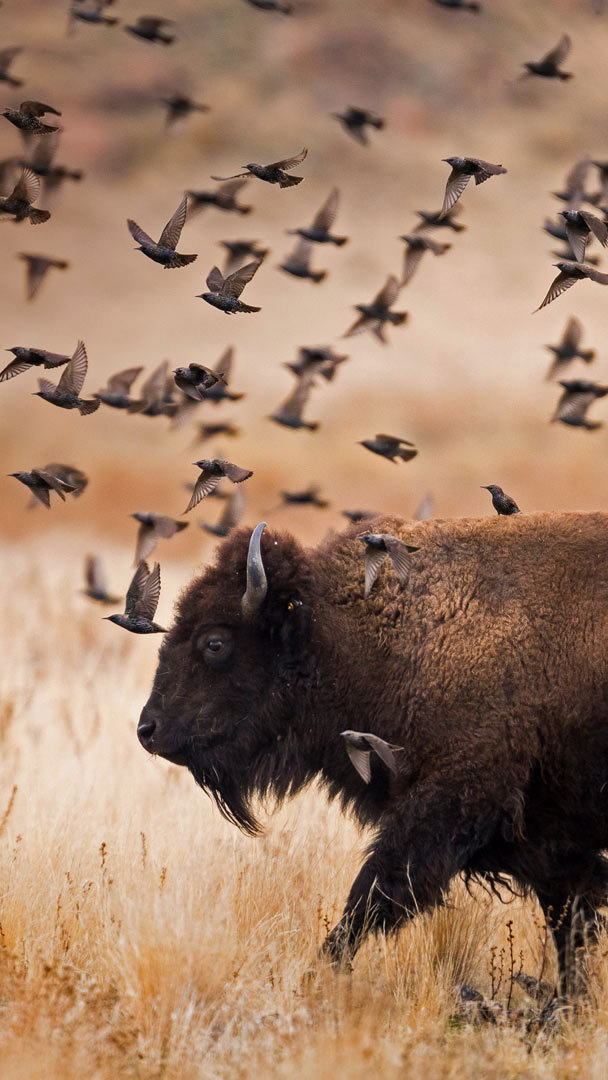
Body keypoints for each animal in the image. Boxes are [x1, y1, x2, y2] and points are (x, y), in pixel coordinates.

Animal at [139, 509, 608, 989]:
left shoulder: (451, 803)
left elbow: (373, 892)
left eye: (215, 642)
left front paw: (320, 976)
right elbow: (569, 922)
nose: (148, 729)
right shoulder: (543, 837)